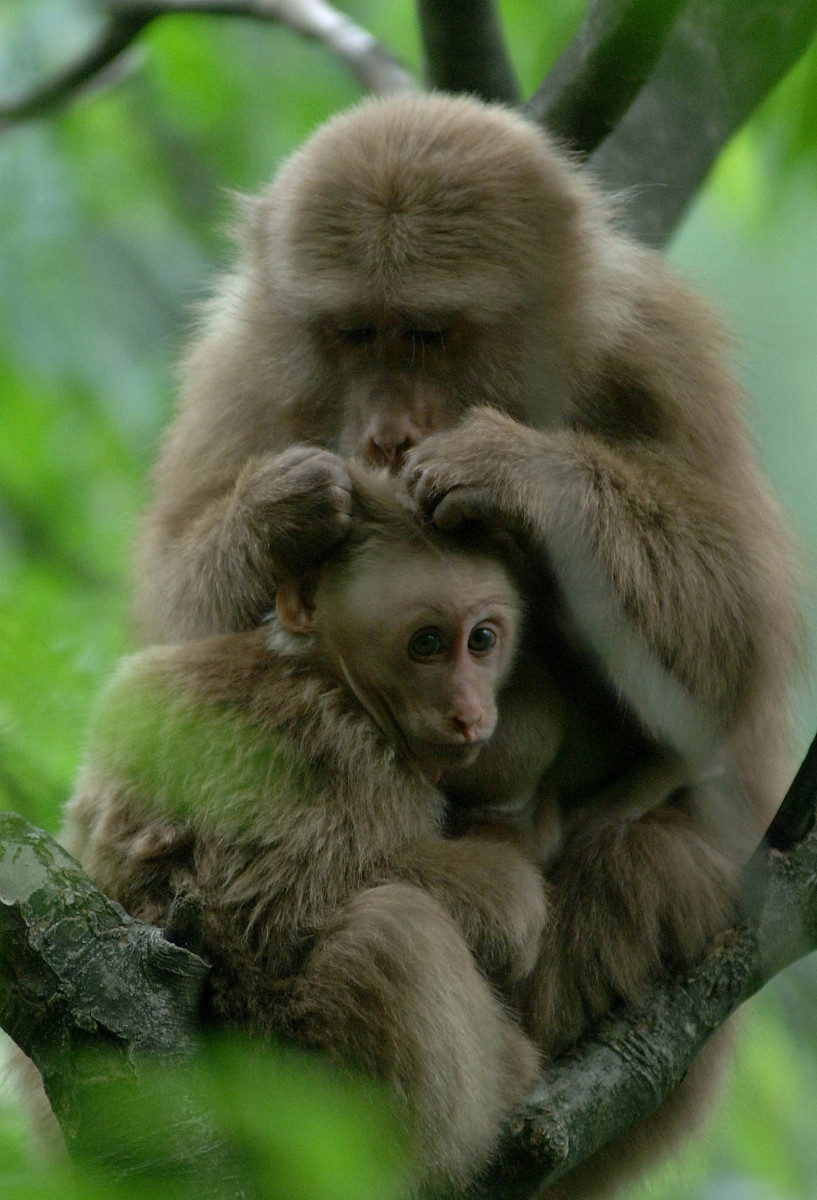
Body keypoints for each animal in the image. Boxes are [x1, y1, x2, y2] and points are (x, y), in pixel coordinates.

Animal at [63, 460, 544, 1190]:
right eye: (427, 645)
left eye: (482, 640)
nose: (468, 711)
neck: (321, 671)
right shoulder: (339, 750)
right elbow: (287, 904)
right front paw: (515, 899)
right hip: (298, 1097)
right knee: (394, 931)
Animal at [133, 91, 796, 1190]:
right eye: (357, 332)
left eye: (429, 334)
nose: (385, 432)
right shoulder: (243, 369)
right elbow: (169, 660)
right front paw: (282, 511)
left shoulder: (658, 351)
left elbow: (737, 642)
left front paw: (516, 471)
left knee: (651, 855)